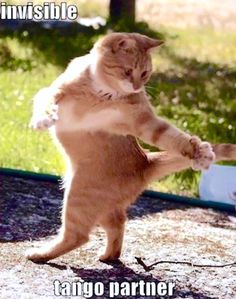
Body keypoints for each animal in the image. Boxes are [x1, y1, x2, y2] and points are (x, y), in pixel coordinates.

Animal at [26, 32, 236, 262]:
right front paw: (43, 119)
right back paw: (107, 255)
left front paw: (199, 152)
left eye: (144, 73)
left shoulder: (145, 122)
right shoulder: (52, 91)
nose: (136, 87)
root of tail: (146, 162)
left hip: (78, 196)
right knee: (116, 223)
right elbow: (47, 103)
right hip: (90, 200)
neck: (104, 94)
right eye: (128, 71)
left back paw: (41, 254)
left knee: (80, 235)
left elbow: (174, 137)